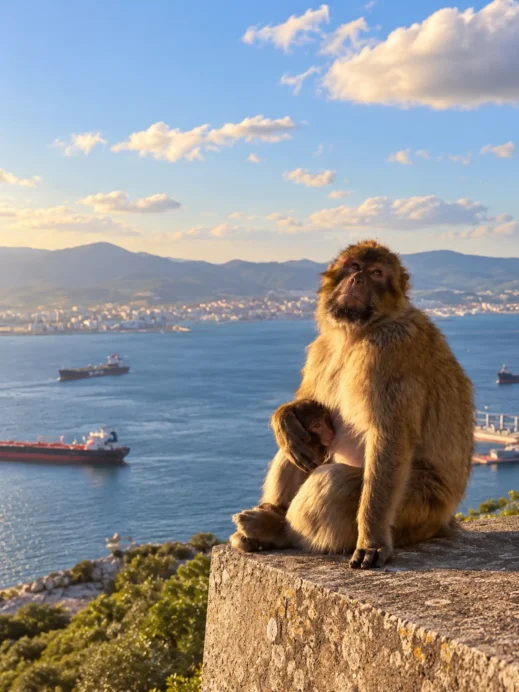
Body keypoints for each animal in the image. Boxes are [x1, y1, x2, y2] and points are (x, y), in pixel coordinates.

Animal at [231, 239, 474, 569]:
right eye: (354, 267)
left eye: (376, 273)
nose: (357, 279)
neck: (357, 333)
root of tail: (445, 521)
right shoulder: (321, 348)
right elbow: (306, 403)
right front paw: (285, 416)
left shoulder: (389, 350)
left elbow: (389, 438)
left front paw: (372, 539)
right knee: (296, 449)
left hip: (421, 507)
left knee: (334, 482)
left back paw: (277, 530)